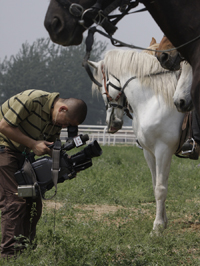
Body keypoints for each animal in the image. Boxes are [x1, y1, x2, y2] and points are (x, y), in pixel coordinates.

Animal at [89, 47, 184, 235]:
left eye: (103, 88)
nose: (112, 124)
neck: (154, 100)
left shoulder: (163, 151)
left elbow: (160, 189)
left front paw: (157, 227)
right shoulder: (150, 152)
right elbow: (157, 184)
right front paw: (163, 221)